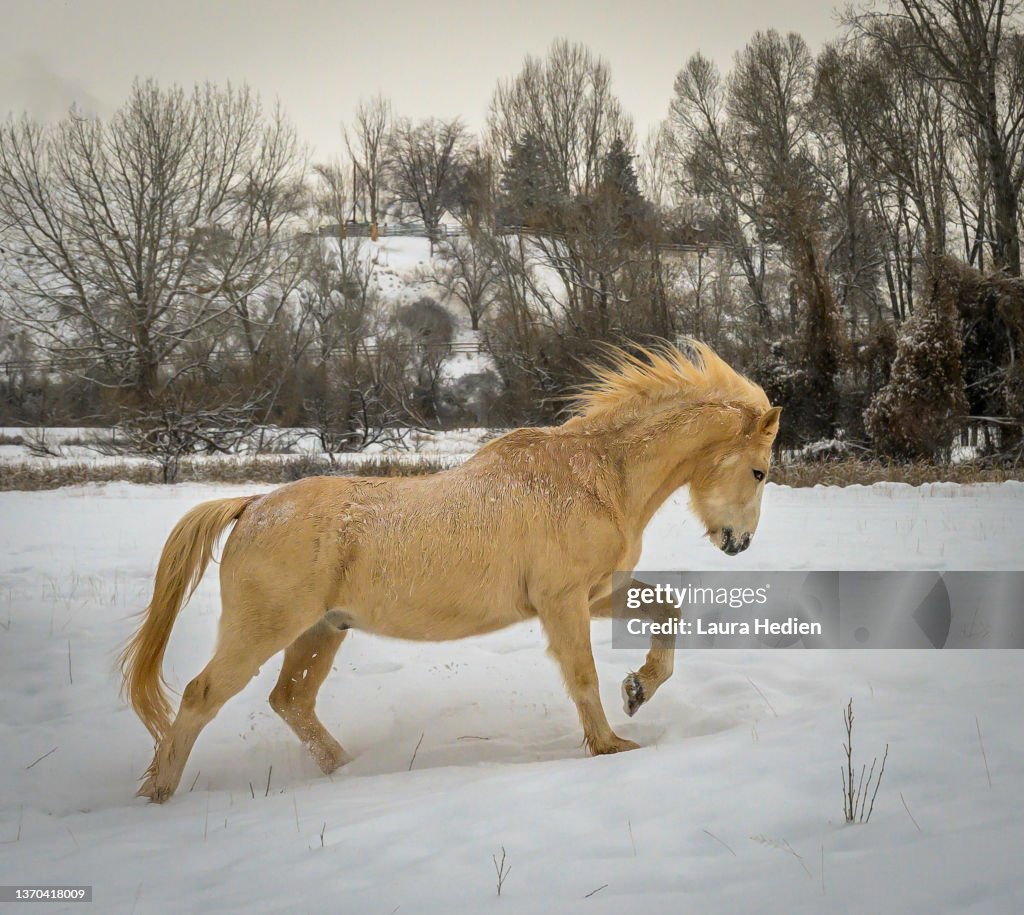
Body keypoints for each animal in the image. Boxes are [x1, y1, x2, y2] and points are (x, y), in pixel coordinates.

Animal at [120, 341, 781, 802]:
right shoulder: (562, 601)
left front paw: (639, 690)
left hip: (320, 631)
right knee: (203, 696)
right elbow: (582, 676)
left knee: (292, 702)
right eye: (760, 471)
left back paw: (350, 771)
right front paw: (612, 745)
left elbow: (668, 607)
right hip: (264, 629)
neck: (596, 476)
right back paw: (156, 794)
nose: (741, 544)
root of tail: (252, 505)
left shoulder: (594, 593)